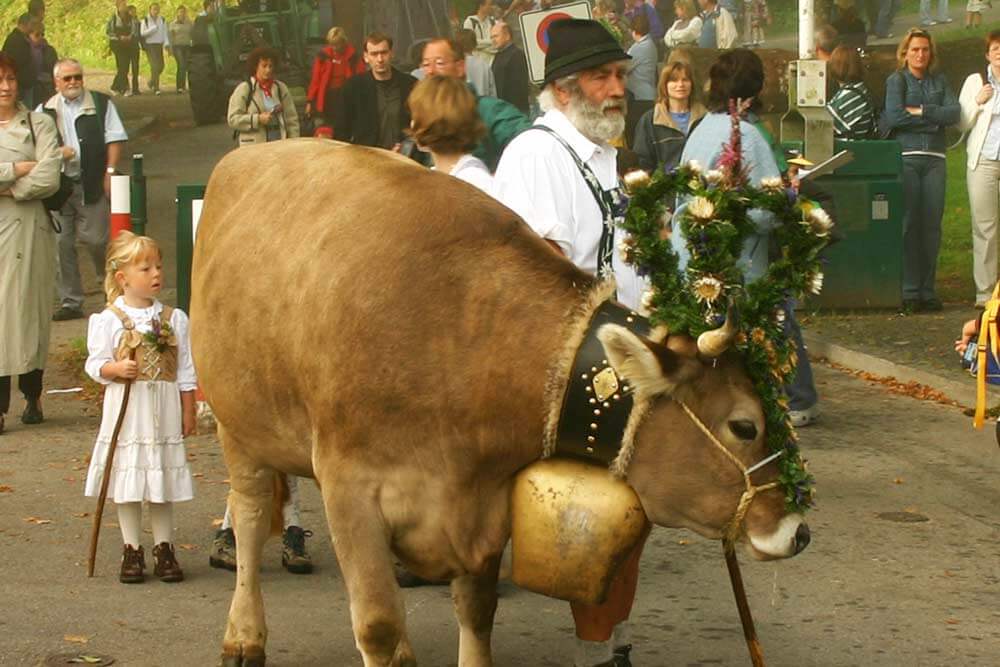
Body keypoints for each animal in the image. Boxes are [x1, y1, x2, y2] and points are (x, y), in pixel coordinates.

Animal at [191, 138, 808, 664]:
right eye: (744, 426)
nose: (797, 531)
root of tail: (252, 154)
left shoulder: (484, 507)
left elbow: (477, 611)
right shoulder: (351, 489)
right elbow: (379, 625)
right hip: (237, 427)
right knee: (250, 519)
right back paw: (243, 635)